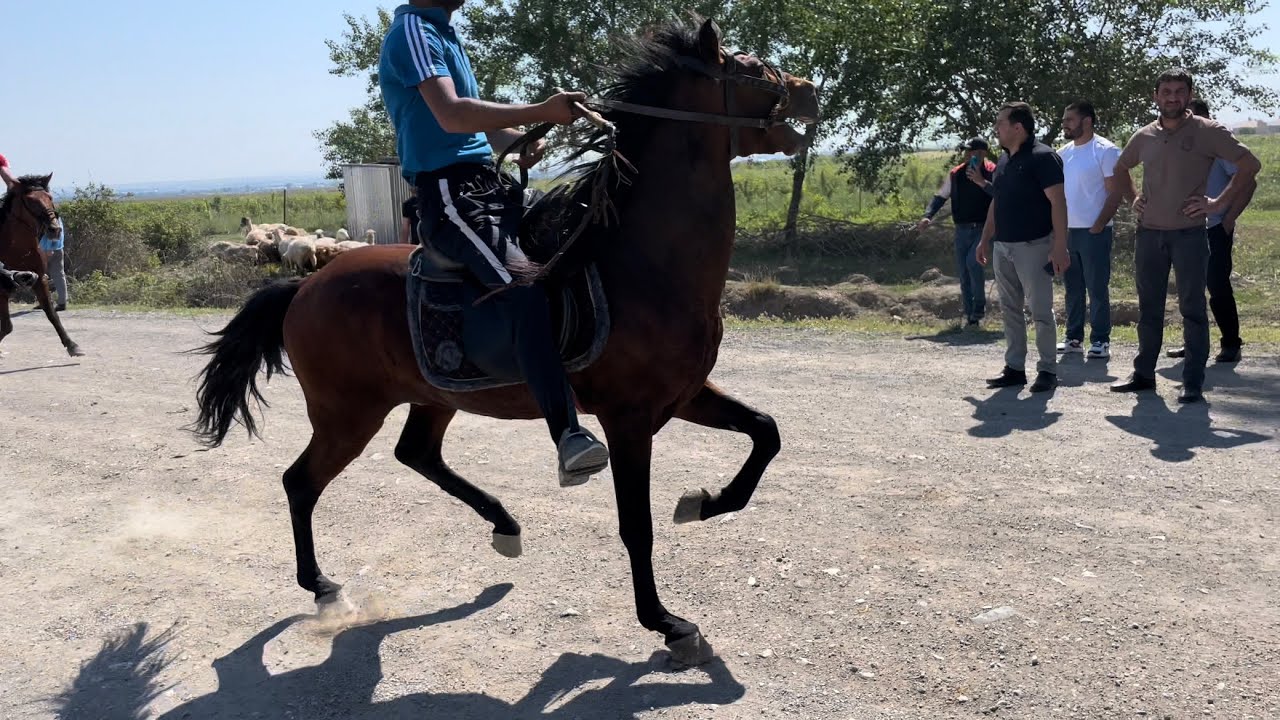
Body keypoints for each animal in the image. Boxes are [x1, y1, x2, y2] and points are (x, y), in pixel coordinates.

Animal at [0, 172, 82, 353]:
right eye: (30, 200)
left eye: (49, 197)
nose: (55, 229)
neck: (18, 248)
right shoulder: (2, 288)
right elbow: (7, 327)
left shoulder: (39, 279)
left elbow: (52, 314)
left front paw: (72, 344)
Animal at [195, 16, 824, 666]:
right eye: (750, 68)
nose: (808, 90)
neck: (645, 266)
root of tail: (305, 285)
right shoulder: (629, 419)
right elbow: (637, 526)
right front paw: (667, 623)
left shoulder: (685, 396)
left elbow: (766, 432)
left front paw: (704, 503)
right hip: (348, 414)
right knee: (301, 482)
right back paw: (323, 587)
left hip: (432, 396)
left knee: (416, 454)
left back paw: (504, 525)